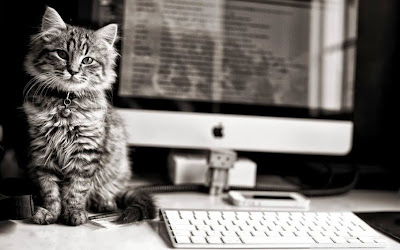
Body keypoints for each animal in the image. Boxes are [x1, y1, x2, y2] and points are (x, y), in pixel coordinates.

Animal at [21, 6, 156, 226]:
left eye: (87, 60)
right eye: (62, 54)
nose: (73, 71)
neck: (66, 103)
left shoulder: (85, 150)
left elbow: (76, 189)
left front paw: (74, 213)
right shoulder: (42, 151)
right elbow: (50, 190)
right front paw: (50, 212)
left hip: (118, 168)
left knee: (108, 190)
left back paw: (104, 202)